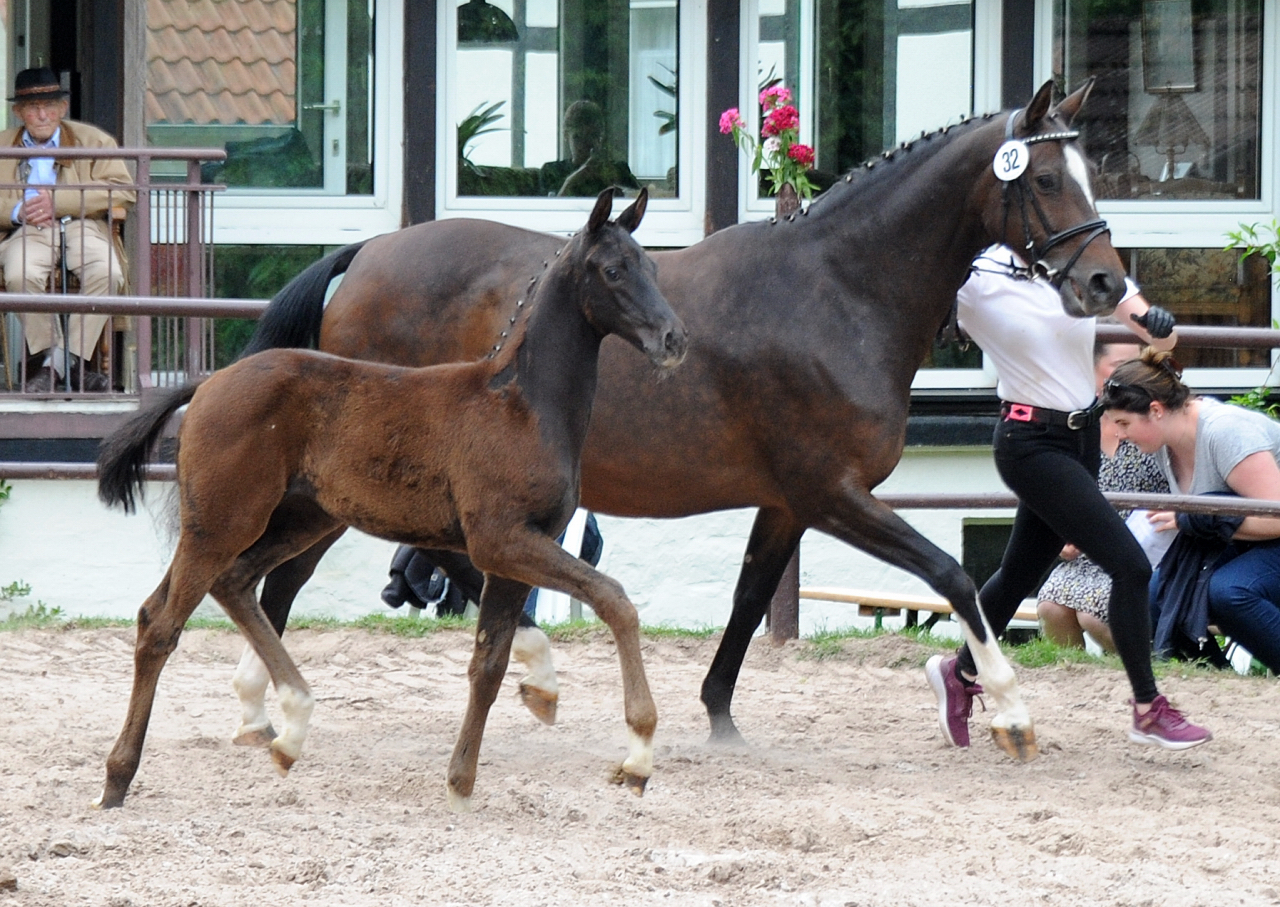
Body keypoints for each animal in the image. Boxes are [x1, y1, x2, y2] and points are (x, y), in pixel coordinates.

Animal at [97, 189, 691, 808]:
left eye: (651, 269)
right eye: (613, 271)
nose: (674, 339)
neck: (524, 405)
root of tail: (211, 382)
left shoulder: (513, 553)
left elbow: (490, 662)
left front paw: (461, 782)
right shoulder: (502, 540)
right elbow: (614, 600)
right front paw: (638, 754)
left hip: (292, 521)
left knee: (218, 589)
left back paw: (289, 728)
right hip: (222, 522)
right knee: (164, 625)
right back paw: (119, 776)